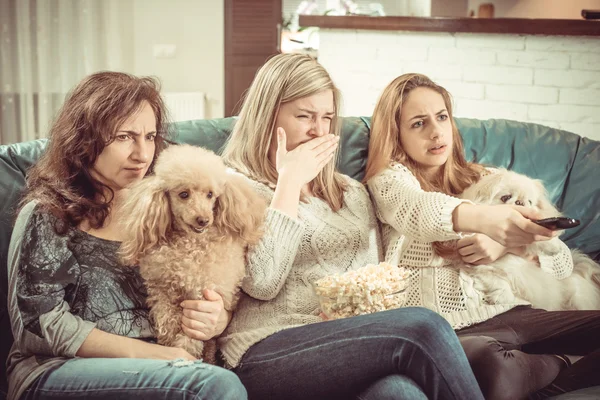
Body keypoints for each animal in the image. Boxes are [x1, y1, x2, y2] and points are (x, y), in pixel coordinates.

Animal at [460, 170, 600, 310]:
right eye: (505, 197)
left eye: (530, 202)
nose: (520, 202)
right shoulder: (481, 267)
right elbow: (497, 281)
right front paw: (502, 296)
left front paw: (553, 245)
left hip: (577, 297)